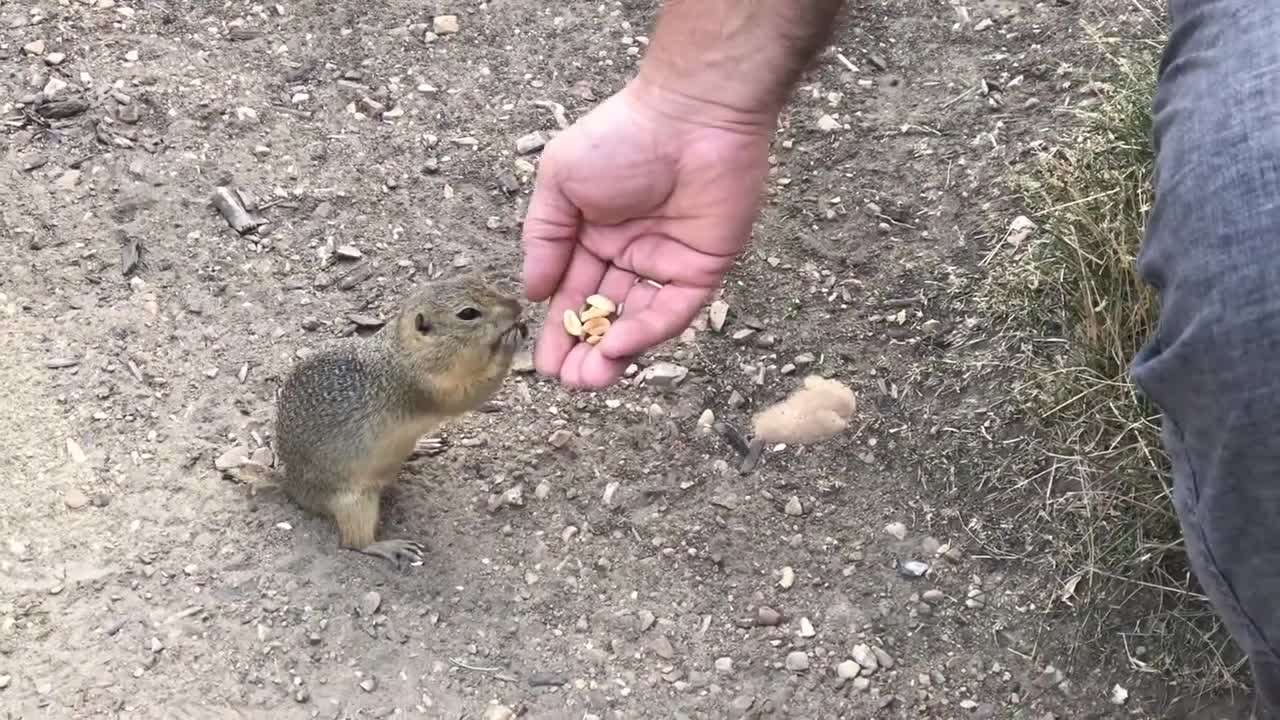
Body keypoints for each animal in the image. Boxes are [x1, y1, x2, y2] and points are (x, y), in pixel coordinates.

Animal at [272, 271, 527, 568]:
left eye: (480, 281)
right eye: (468, 314)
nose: (518, 306)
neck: (405, 351)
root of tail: (292, 487)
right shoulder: (425, 387)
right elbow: (468, 395)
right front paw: (509, 343)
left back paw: (423, 445)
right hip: (353, 501)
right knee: (354, 542)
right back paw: (390, 546)